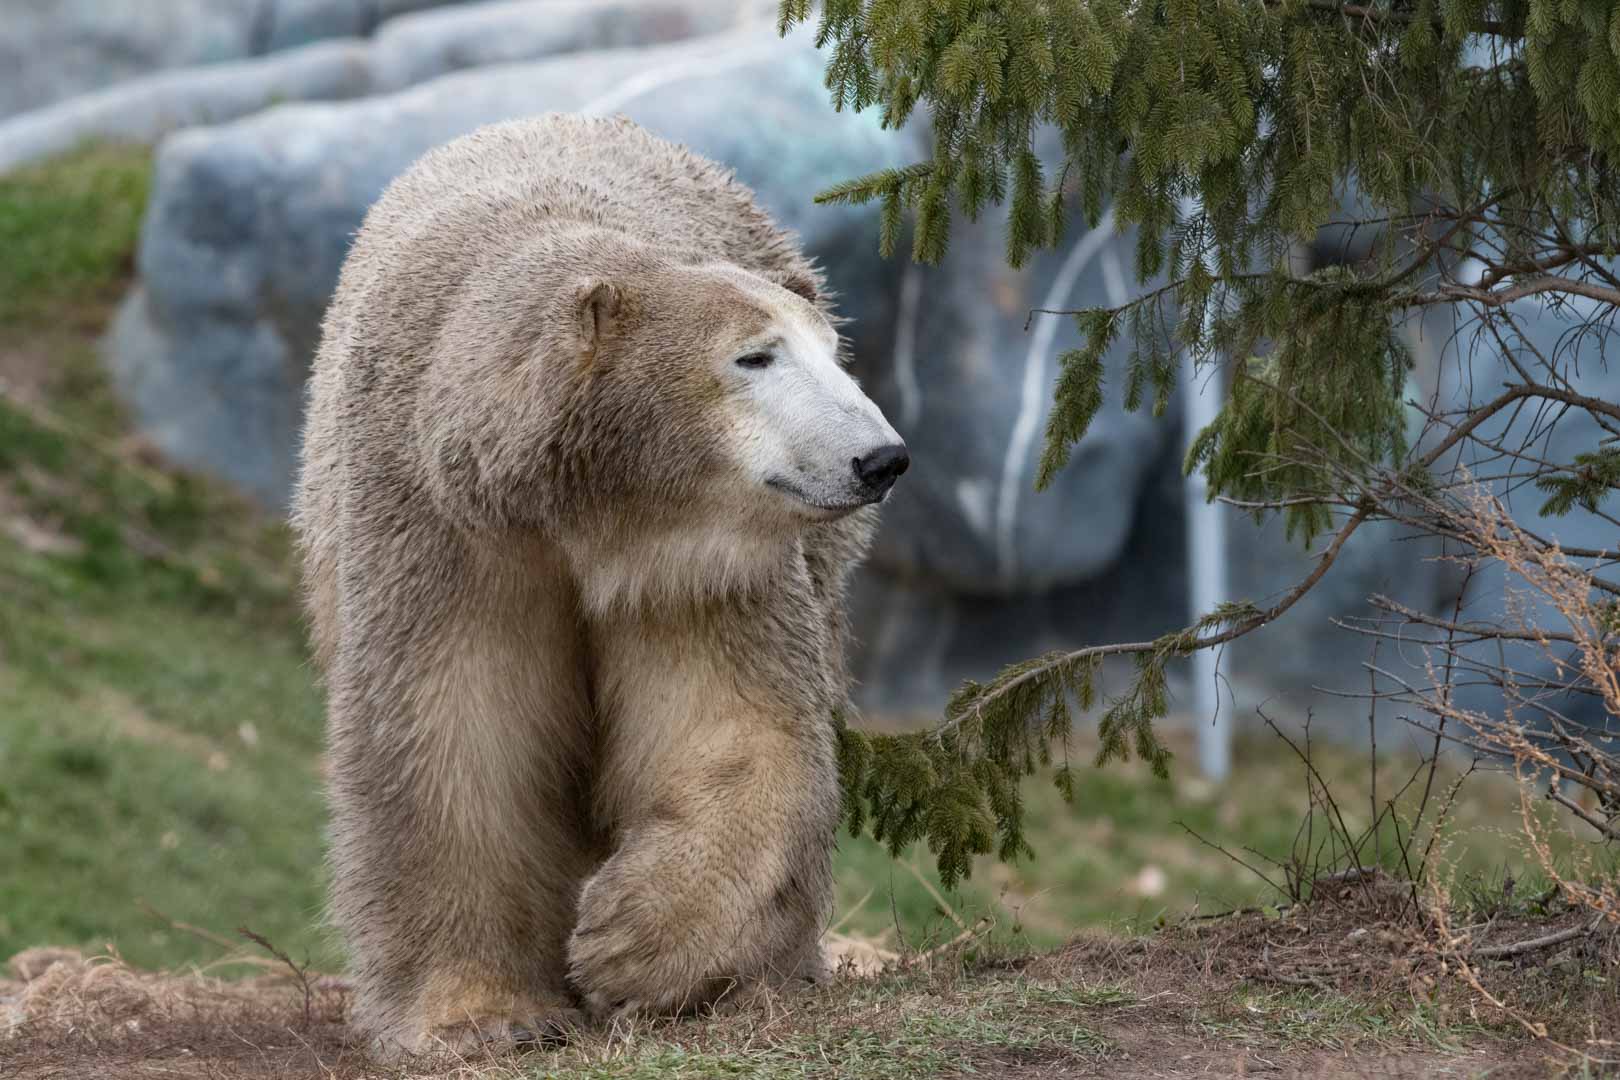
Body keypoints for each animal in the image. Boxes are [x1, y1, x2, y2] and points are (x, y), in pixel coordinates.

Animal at [291, 113, 908, 1057]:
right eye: (754, 357)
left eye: (833, 354)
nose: (880, 457)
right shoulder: (436, 529)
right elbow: (452, 739)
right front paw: (481, 1015)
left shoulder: (694, 566)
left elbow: (732, 726)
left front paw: (629, 943)